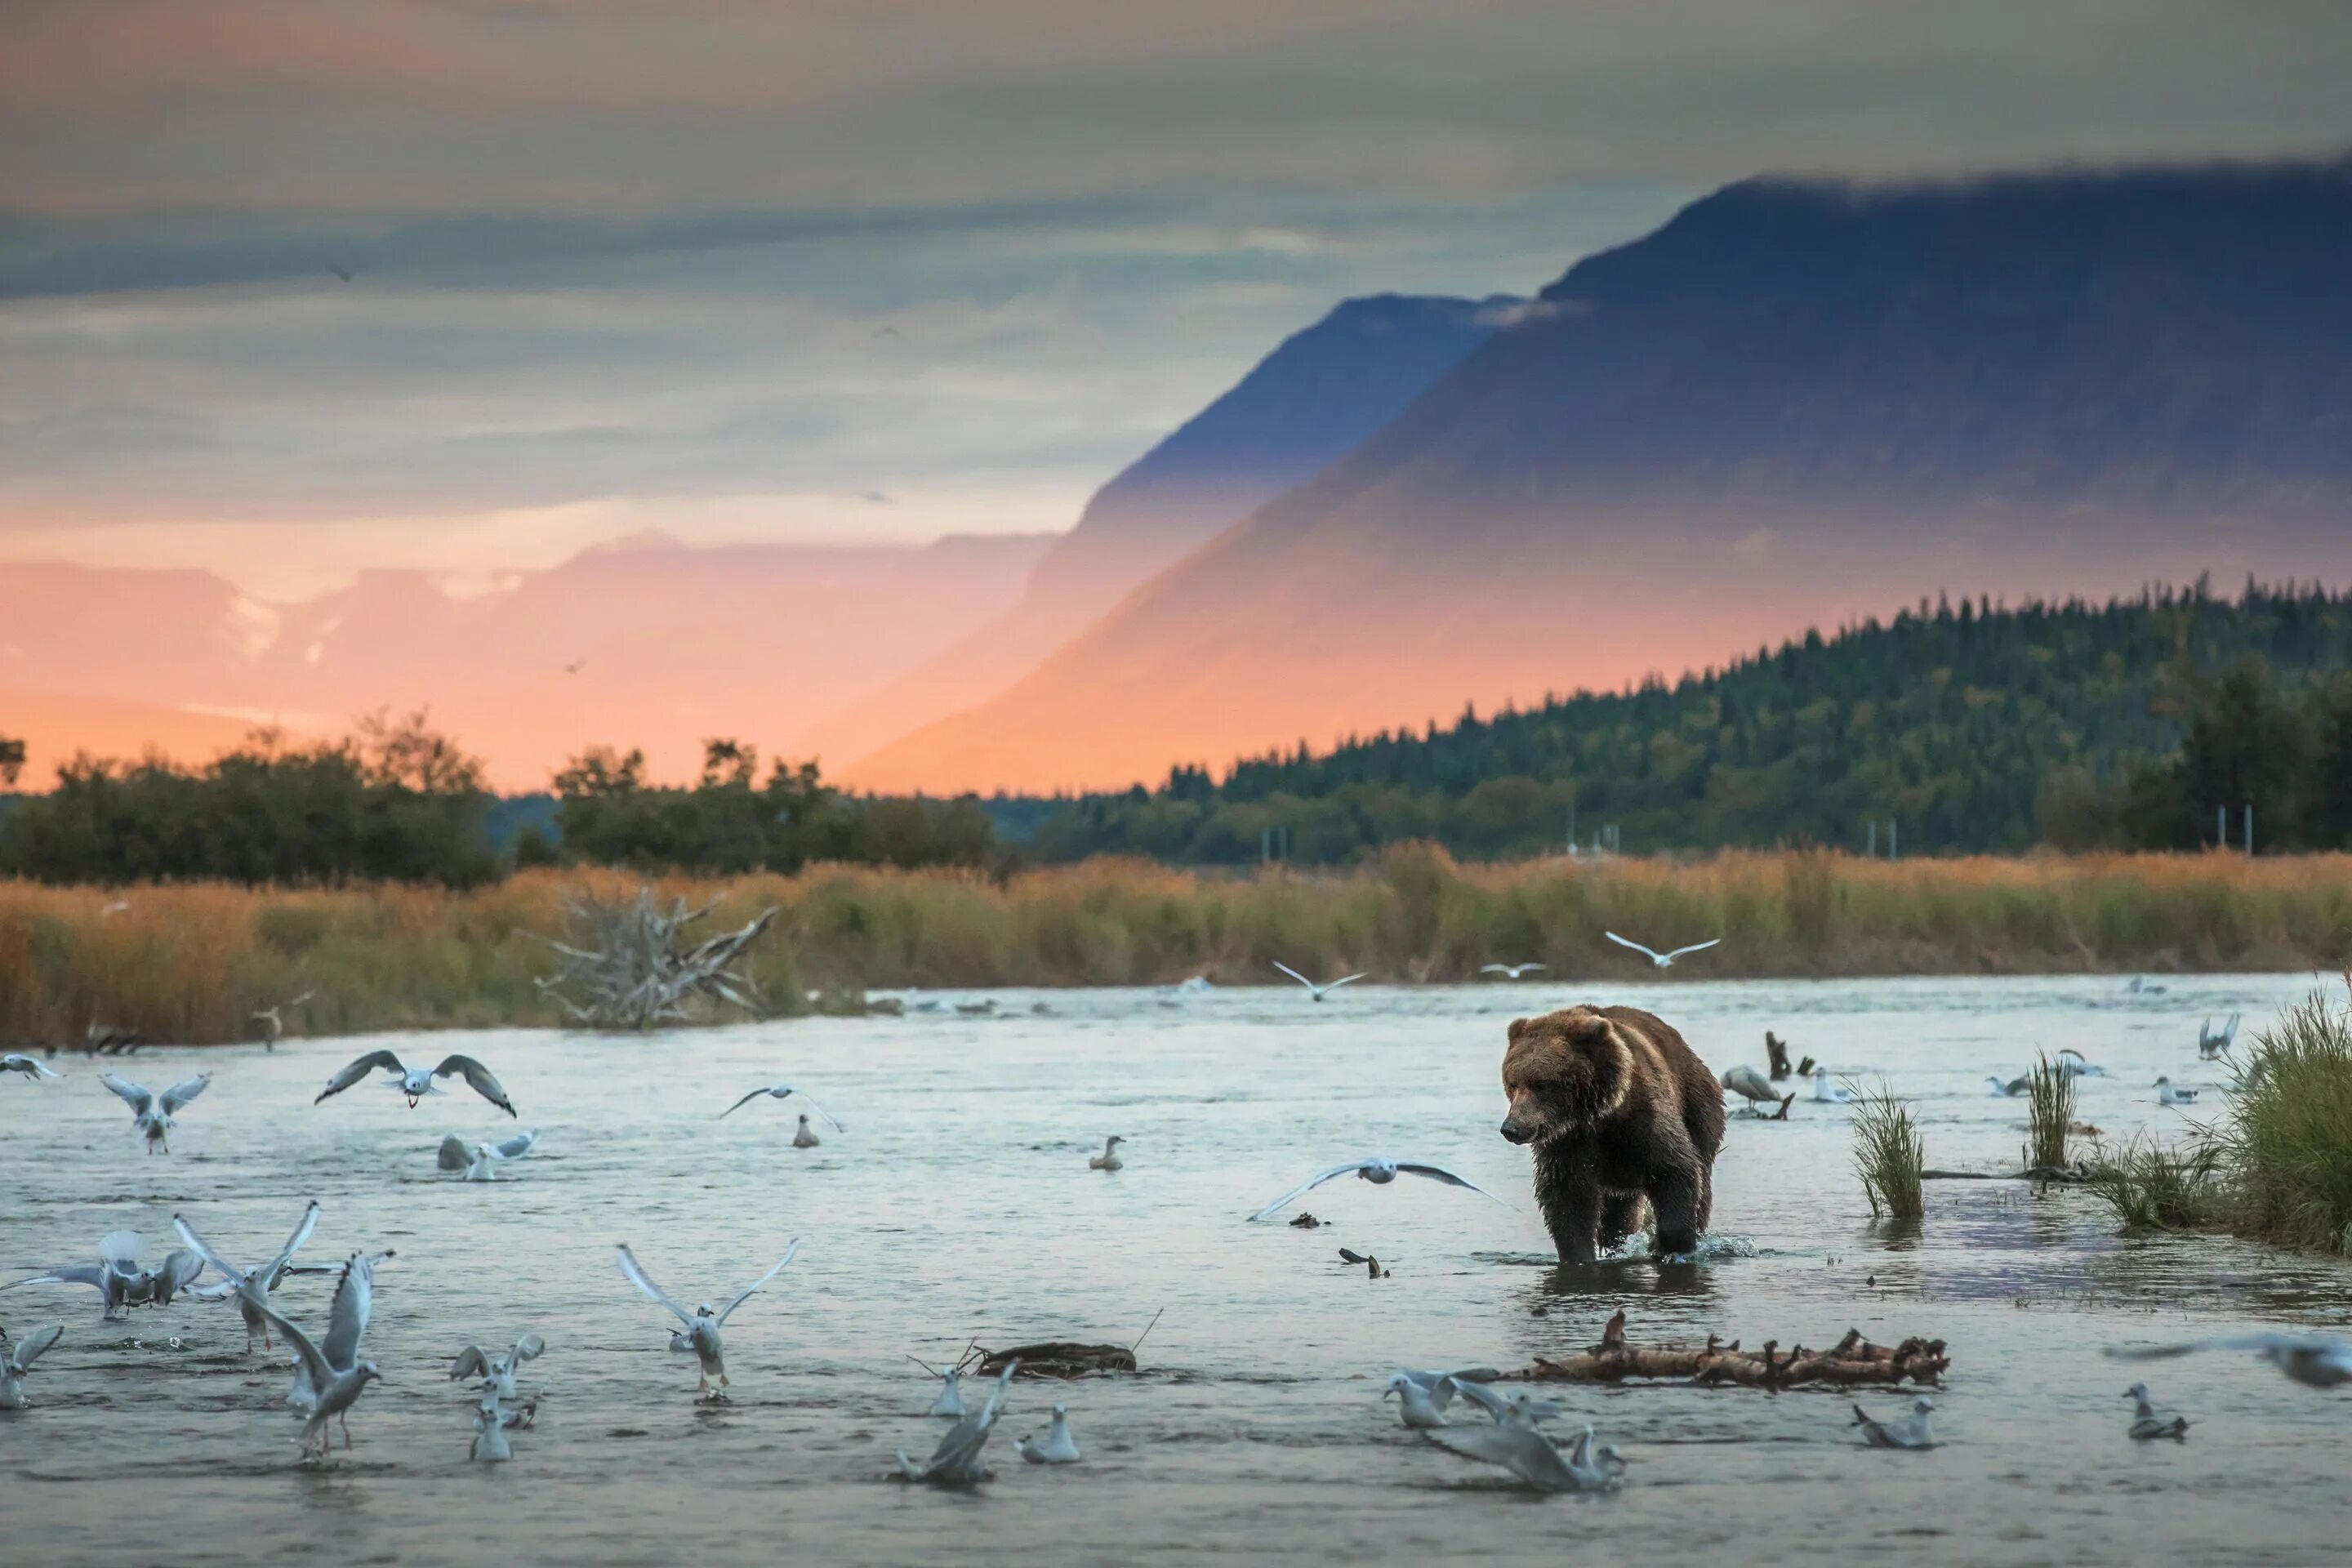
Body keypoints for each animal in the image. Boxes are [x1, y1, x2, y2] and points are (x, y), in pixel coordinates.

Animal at [1505, 1010, 1731, 1269]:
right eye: (1512, 1083)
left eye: (1540, 1084)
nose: (1511, 1127)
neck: (1597, 1115)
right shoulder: (1566, 1143)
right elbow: (1567, 1198)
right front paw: (1578, 1255)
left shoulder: (1642, 1120)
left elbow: (1674, 1167)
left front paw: (1667, 1246)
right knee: (1619, 1211)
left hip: (1698, 1107)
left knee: (1702, 1183)